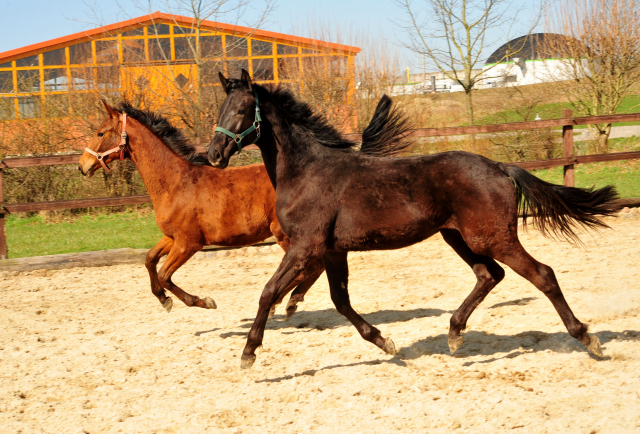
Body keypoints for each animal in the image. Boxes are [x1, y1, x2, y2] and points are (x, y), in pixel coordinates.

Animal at [76, 97, 404, 316]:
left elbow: (166, 274)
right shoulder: (172, 237)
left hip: (286, 235)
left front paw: (202, 302)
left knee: (313, 265)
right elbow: (148, 261)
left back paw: (285, 302)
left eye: (100, 132)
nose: (82, 166)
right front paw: (163, 300)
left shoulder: (189, 243)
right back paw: (288, 301)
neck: (176, 181)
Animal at [205, 69, 620, 368]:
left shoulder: (305, 246)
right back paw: (454, 334)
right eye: (219, 111)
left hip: (492, 237)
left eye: (241, 111)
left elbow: (268, 292)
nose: (213, 155)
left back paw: (589, 339)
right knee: (489, 275)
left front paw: (248, 353)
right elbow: (340, 300)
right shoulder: (332, 250)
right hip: (459, 236)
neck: (308, 171)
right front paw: (385, 343)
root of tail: (500, 167)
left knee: (541, 274)